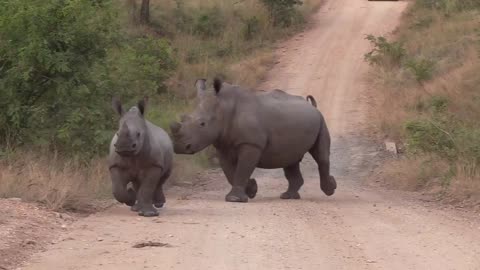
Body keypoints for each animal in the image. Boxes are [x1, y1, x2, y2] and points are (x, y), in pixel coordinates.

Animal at [171, 78, 336, 202]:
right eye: (183, 118)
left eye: (202, 124)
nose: (180, 147)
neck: (223, 108)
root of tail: (312, 106)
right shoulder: (223, 144)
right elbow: (230, 172)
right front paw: (251, 190)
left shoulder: (251, 144)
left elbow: (243, 168)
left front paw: (235, 199)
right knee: (290, 159)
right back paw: (288, 196)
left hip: (321, 120)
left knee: (321, 156)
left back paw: (330, 189)